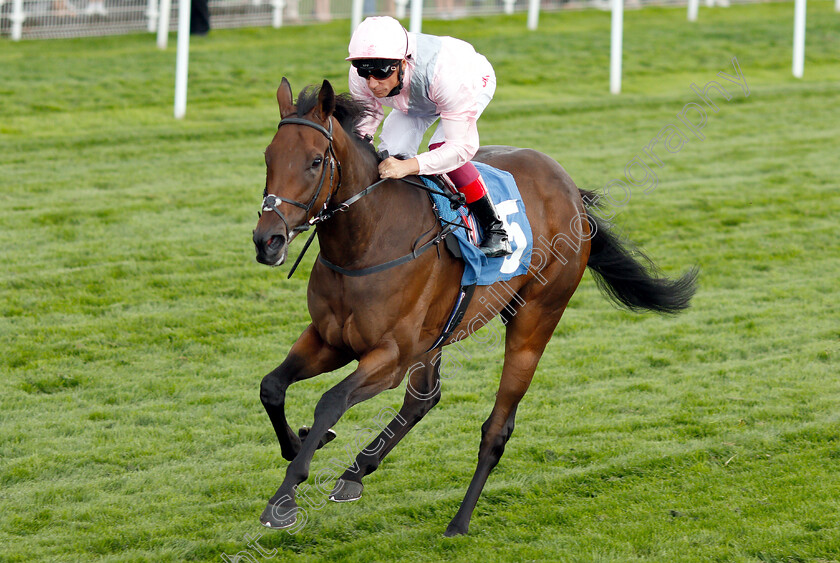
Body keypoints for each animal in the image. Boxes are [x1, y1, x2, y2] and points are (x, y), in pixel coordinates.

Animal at [253, 79, 700, 536]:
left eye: (315, 161)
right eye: (268, 157)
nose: (267, 241)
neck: (367, 241)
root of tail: (572, 190)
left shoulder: (390, 356)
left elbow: (331, 400)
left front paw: (283, 499)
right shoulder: (329, 339)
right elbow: (272, 386)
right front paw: (302, 441)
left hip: (534, 320)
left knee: (497, 428)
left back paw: (459, 520)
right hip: (438, 335)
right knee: (424, 400)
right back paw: (355, 473)